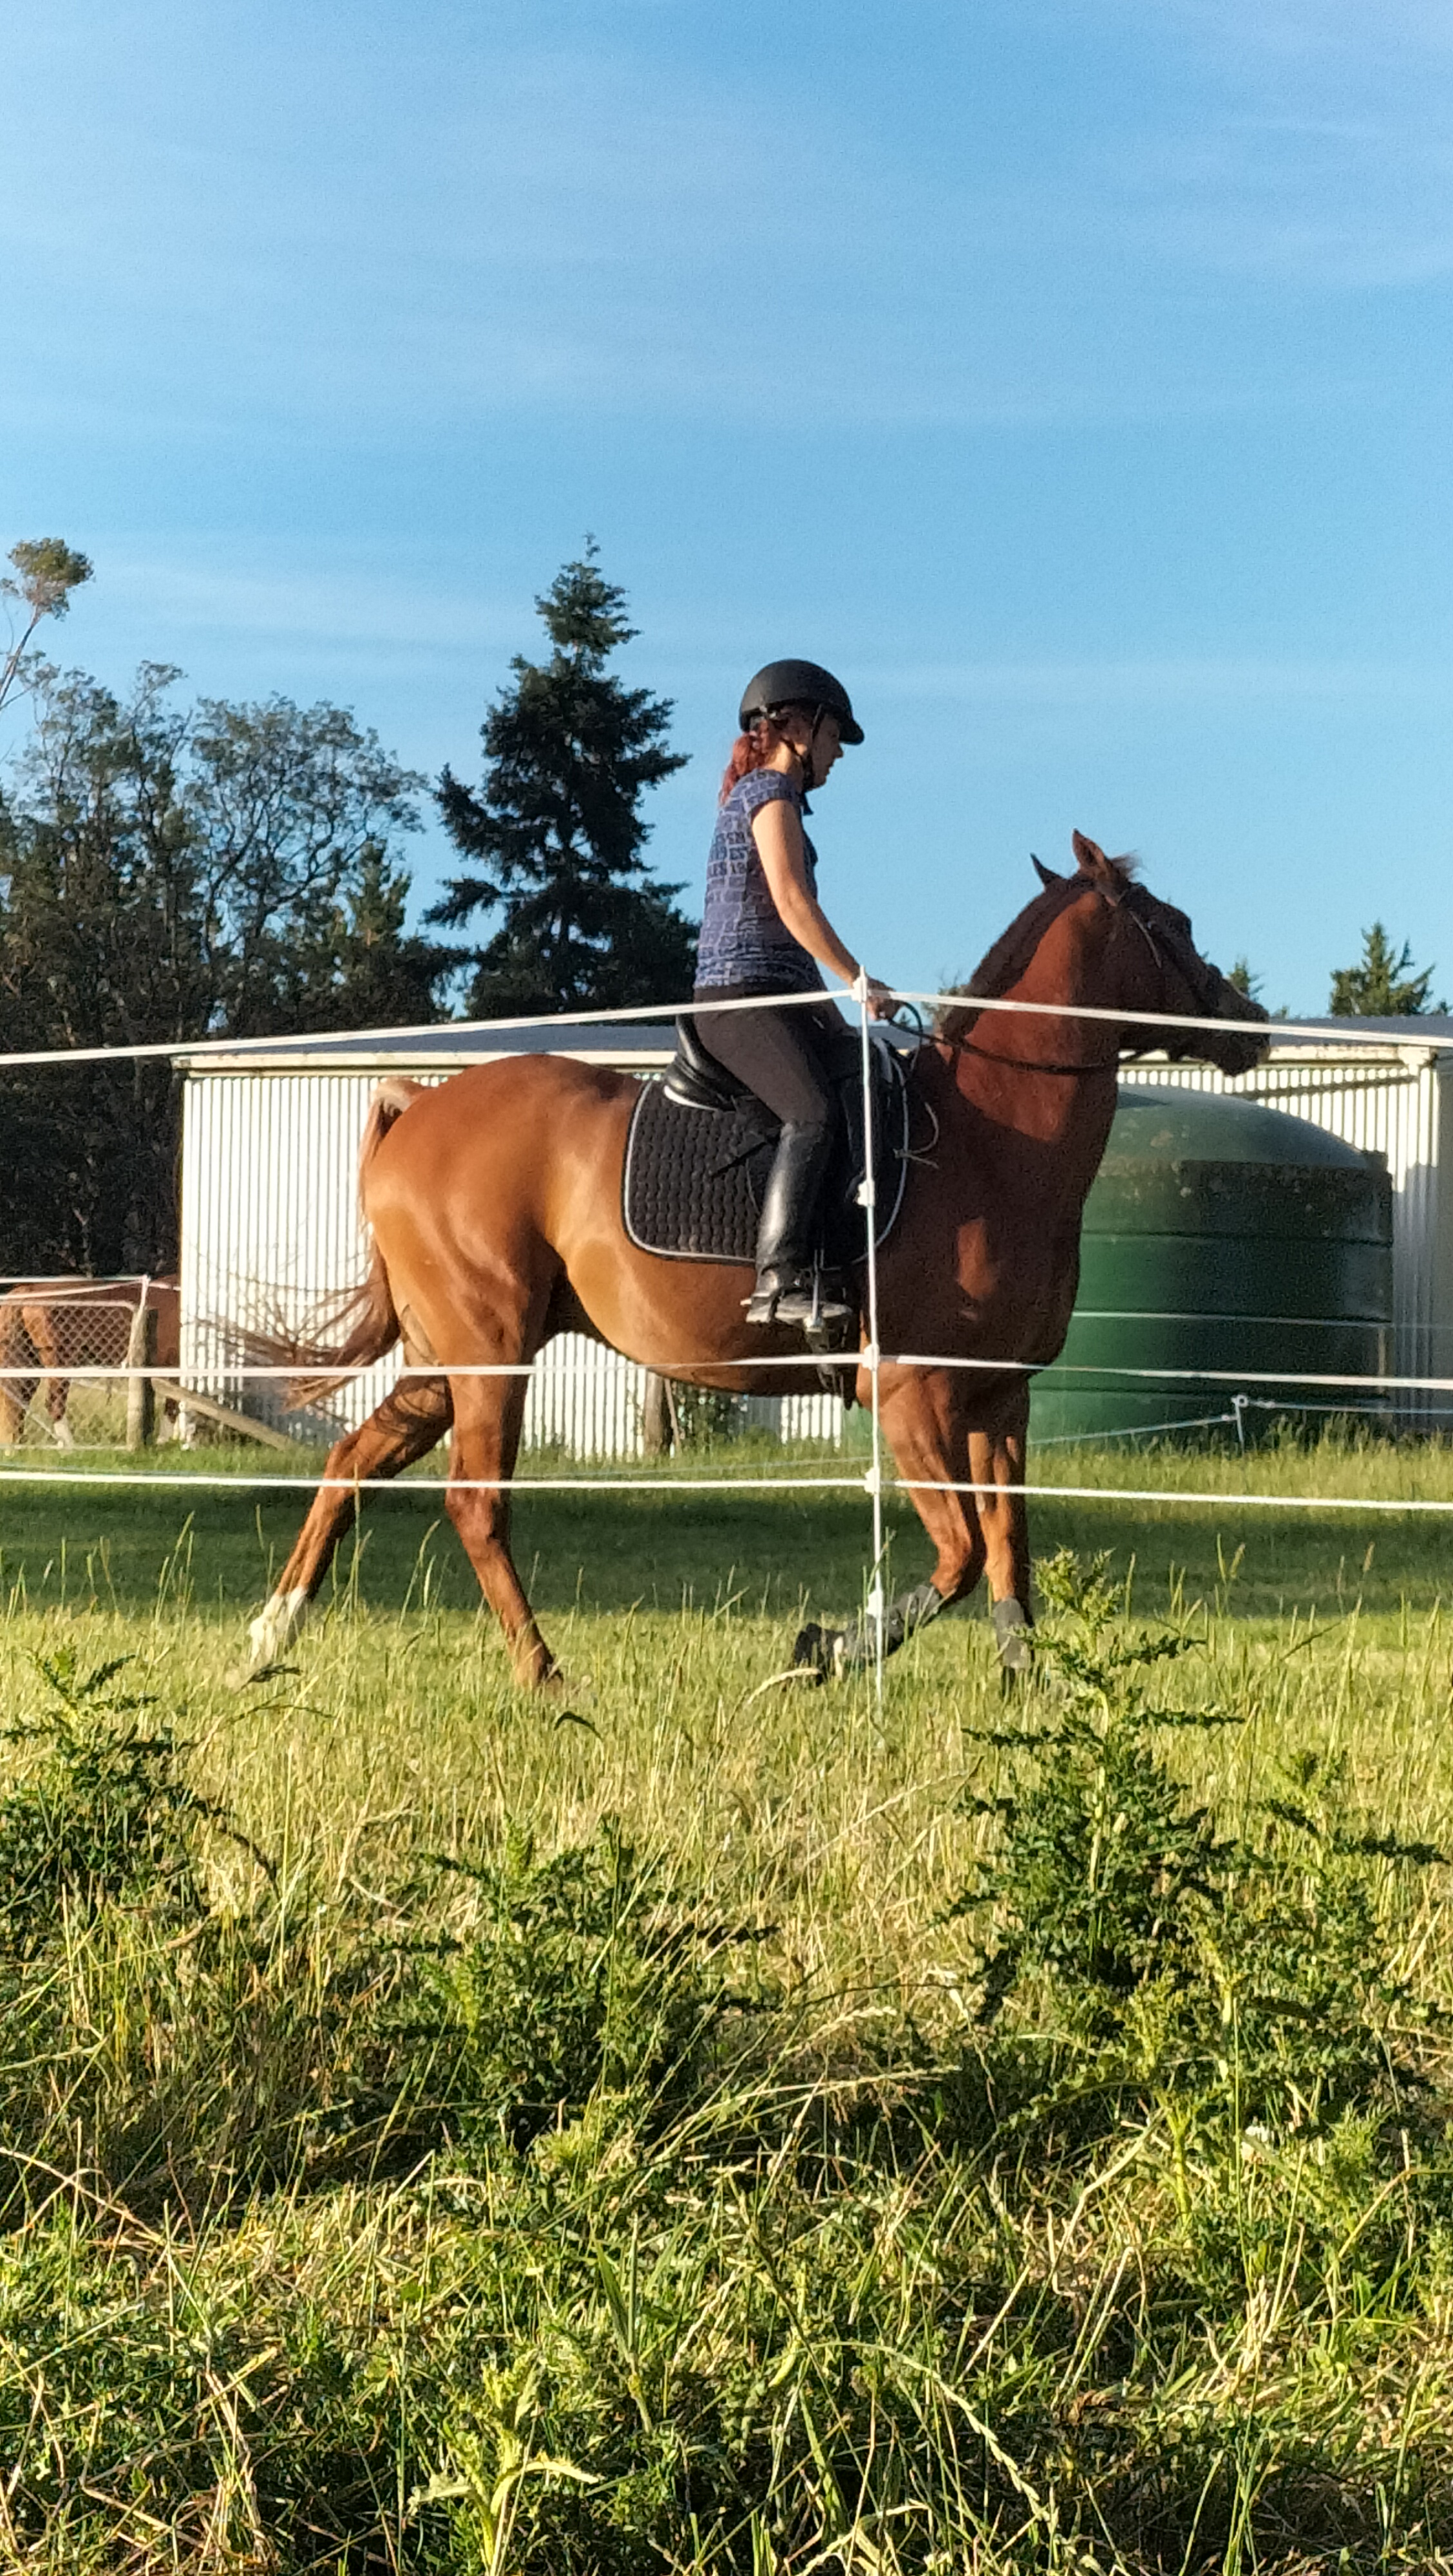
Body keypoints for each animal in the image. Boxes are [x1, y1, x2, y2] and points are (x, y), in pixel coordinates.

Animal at [0, 1275, 180, 1446]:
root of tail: (28, 1290)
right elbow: (173, 1405)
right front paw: (164, 1441)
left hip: (30, 1362)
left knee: (18, 1401)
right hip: (60, 1363)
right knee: (53, 1403)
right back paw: (69, 1446)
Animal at [239, 834, 1267, 1687]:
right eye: (1173, 927)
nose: (1252, 1022)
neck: (993, 1145)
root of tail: (422, 1104)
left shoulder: (997, 1400)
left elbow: (1011, 1550)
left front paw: (1030, 1689)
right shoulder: (911, 1394)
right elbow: (962, 1556)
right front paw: (826, 1650)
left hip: (445, 1361)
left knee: (351, 1462)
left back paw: (270, 1637)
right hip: (490, 1355)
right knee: (474, 1504)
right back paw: (545, 1677)